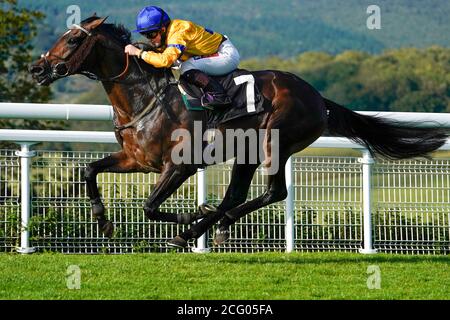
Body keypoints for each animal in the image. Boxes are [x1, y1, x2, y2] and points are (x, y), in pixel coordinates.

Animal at [29, 16, 448, 248]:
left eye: (73, 39)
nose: (37, 68)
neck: (144, 97)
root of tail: (318, 97)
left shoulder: (179, 165)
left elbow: (149, 206)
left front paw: (186, 218)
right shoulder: (137, 159)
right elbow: (88, 170)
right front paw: (102, 220)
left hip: (275, 142)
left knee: (271, 193)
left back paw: (199, 226)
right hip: (248, 152)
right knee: (238, 196)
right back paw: (213, 225)